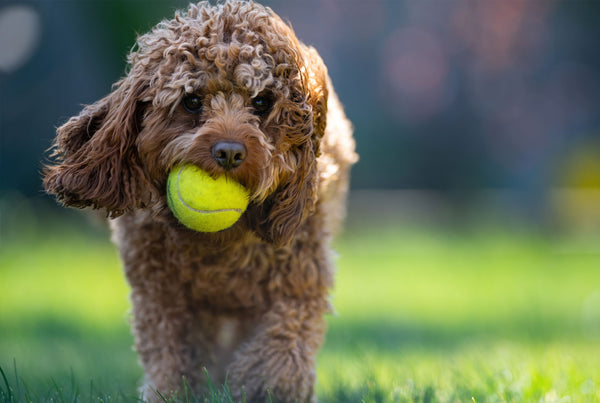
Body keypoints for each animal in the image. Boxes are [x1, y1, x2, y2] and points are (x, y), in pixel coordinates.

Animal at [44, 1, 358, 402]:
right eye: (192, 101)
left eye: (262, 102)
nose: (229, 152)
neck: (219, 246)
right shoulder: (162, 294)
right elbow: (171, 356)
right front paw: (172, 391)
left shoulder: (297, 277)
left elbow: (283, 346)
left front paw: (265, 387)